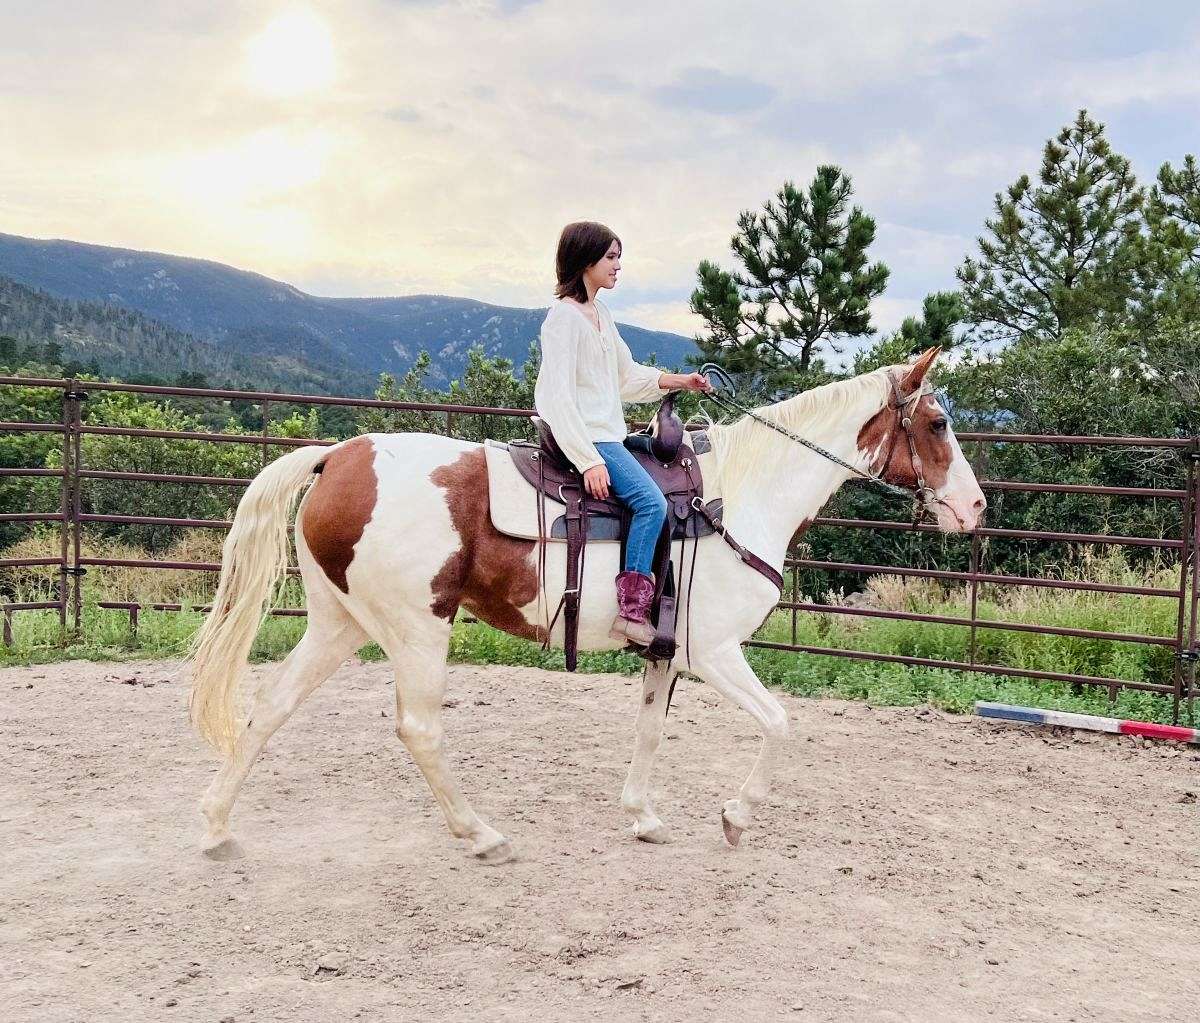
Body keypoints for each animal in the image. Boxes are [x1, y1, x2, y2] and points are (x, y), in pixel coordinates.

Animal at [187, 347, 985, 864]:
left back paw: (217, 826)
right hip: (418, 629)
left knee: (270, 708)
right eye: (937, 424)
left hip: (339, 625)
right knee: (419, 729)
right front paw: (734, 818)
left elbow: (650, 732)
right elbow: (780, 724)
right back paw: (481, 834)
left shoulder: (666, 654)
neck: (741, 495)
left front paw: (642, 817)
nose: (976, 508)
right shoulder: (715, 653)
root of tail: (338, 456)